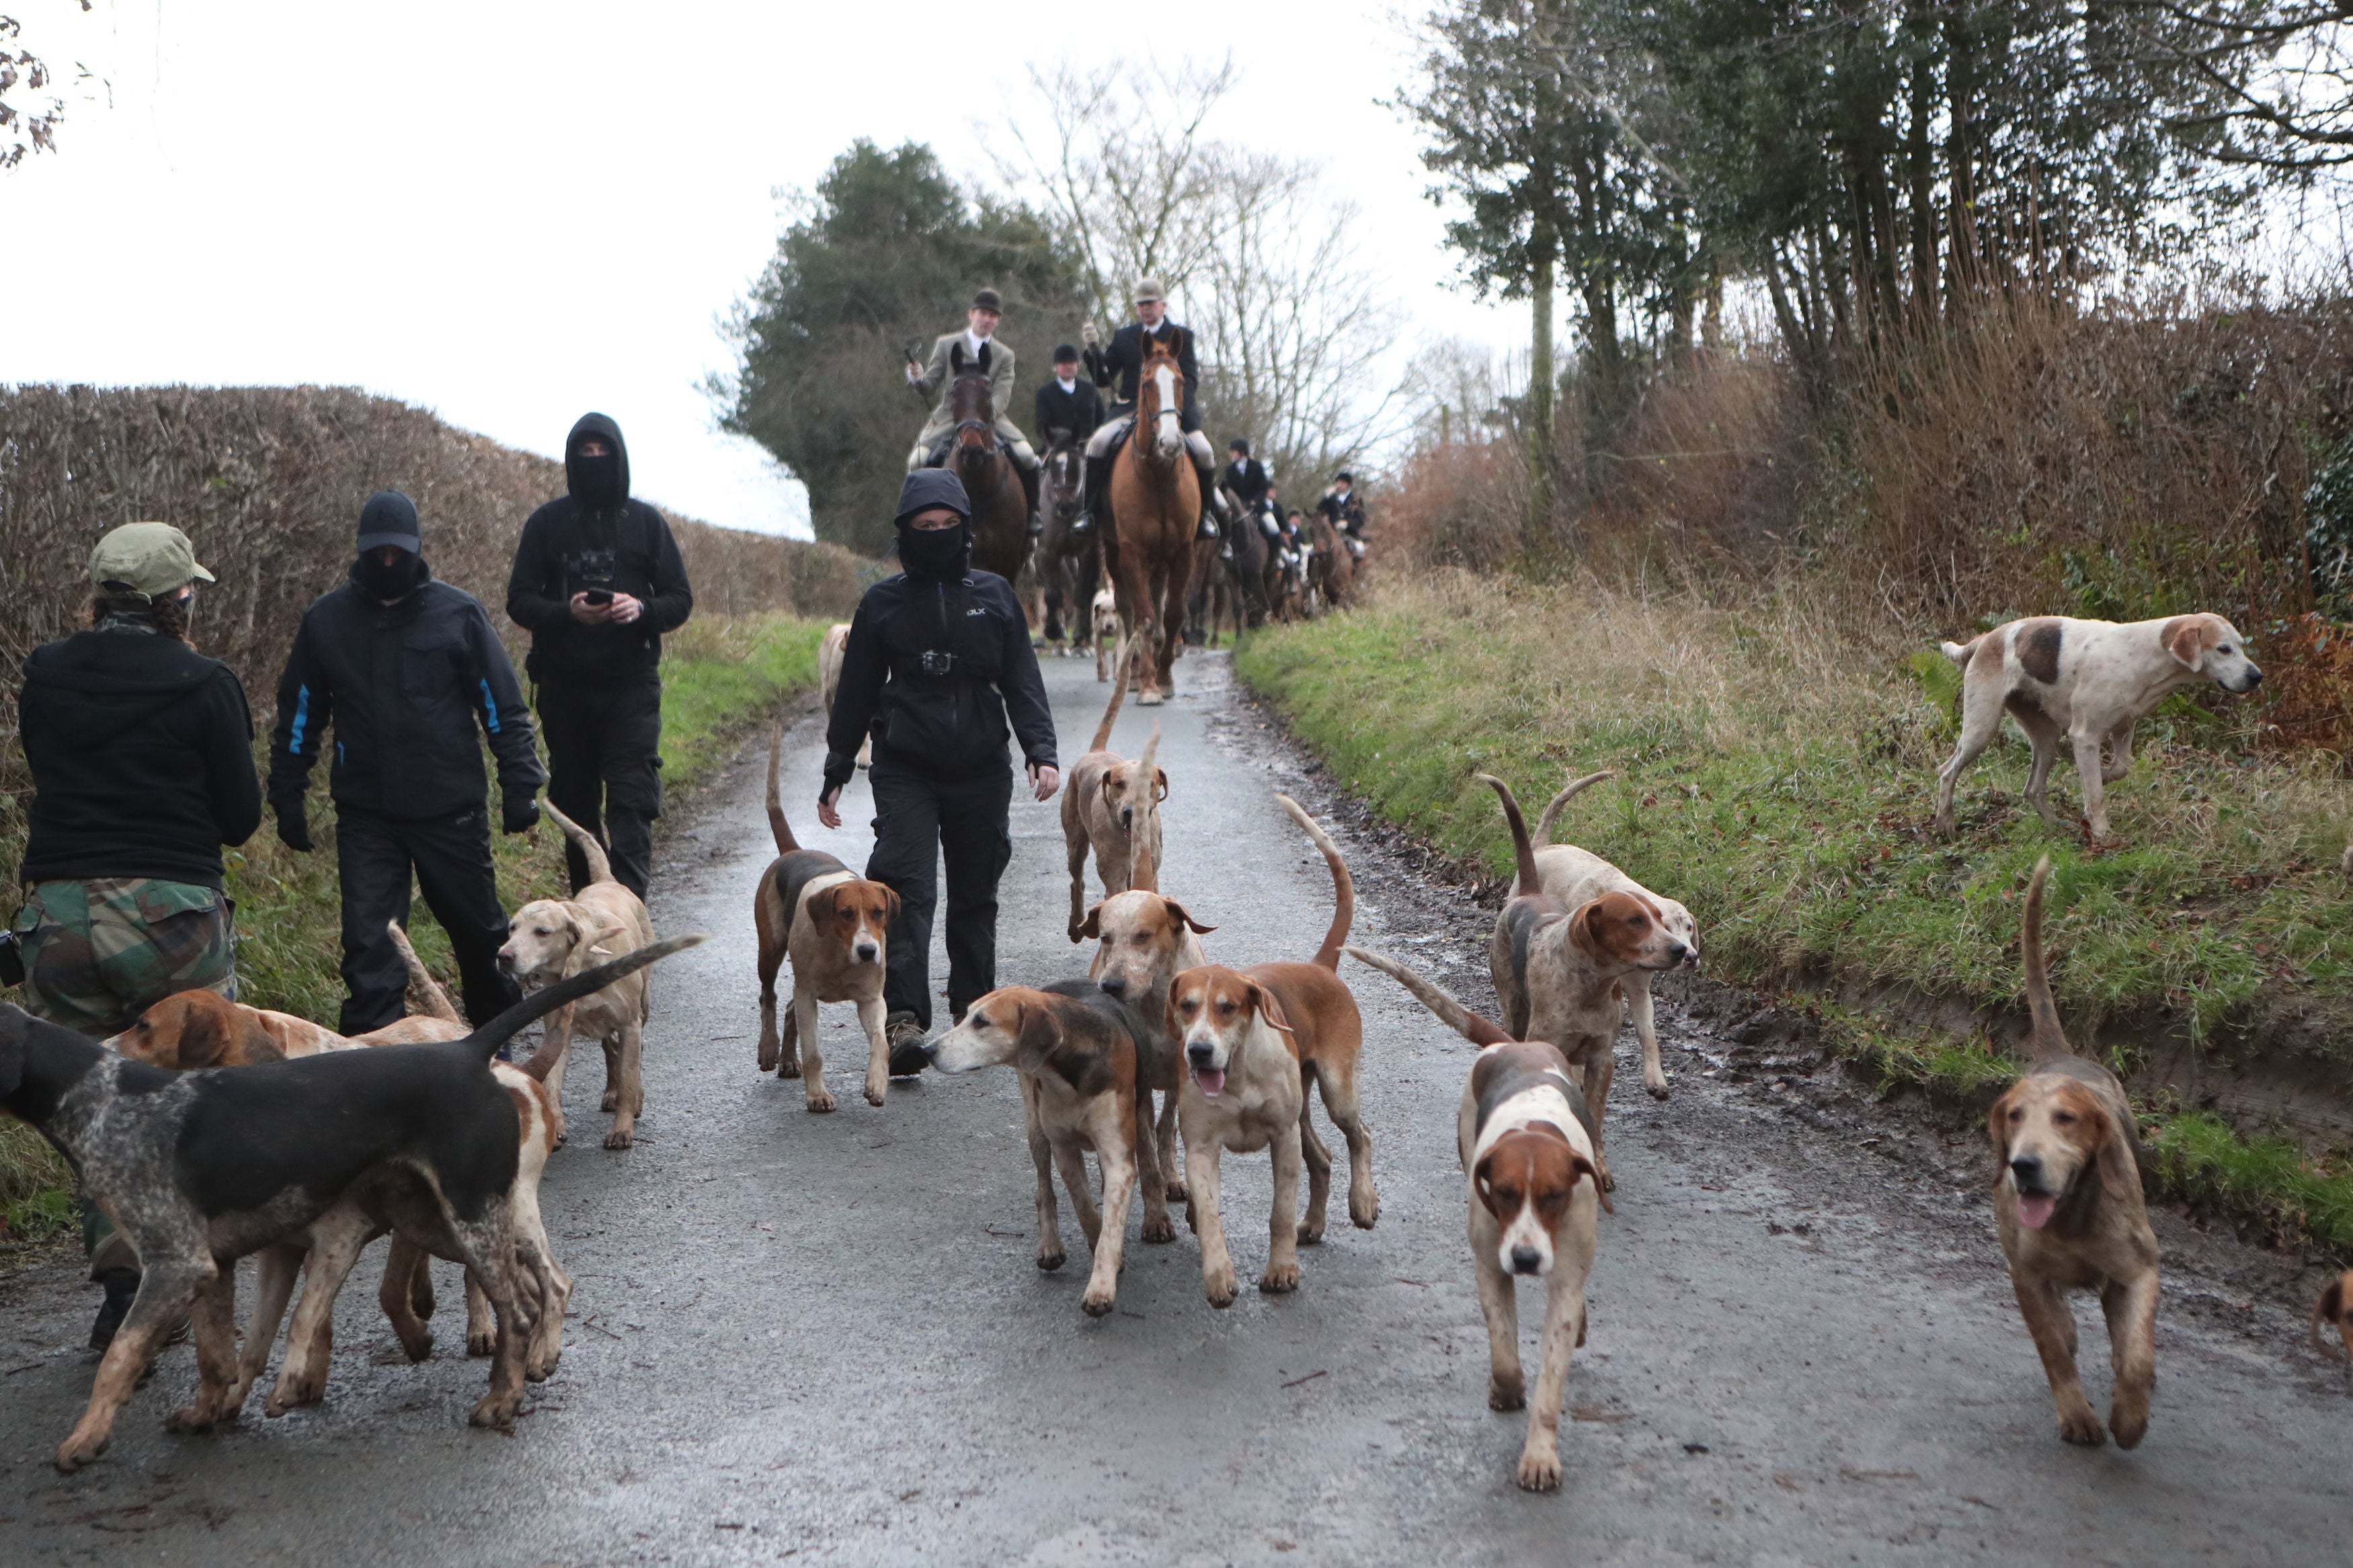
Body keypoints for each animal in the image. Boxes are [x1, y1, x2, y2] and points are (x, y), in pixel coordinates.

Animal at [1106, 338, 1205, 705]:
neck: (1159, 476)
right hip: (1115, 554)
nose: (1172, 443)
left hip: (1161, 560)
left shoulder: (1185, 552)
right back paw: (1134, 675)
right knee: (1129, 610)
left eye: (1180, 381)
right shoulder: (1131, 552)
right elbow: (1144, 619)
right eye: (1146, 383)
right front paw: (1148, 685)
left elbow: (1173, 614)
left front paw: (1163, 679)